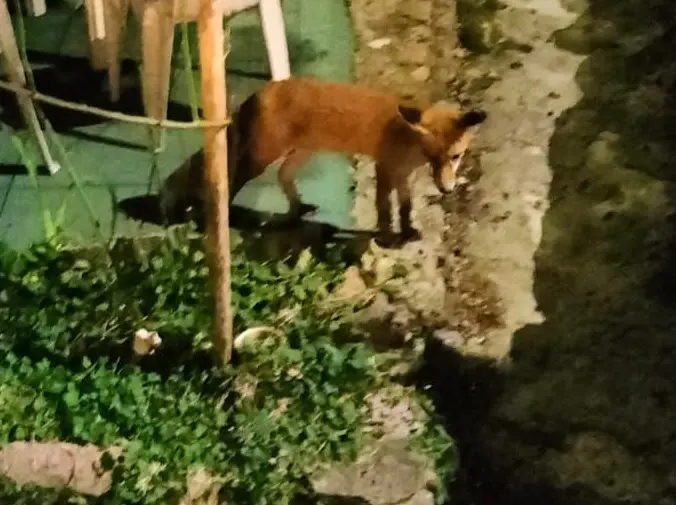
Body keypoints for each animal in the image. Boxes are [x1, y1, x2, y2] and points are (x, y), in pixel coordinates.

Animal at [158, 76, 486, 244]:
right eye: (434, 157)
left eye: (456, 156)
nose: (446, 189)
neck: (410, 145)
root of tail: (261, 91)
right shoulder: (384, 167)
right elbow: (383, 207)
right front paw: (386, 236)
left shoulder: (403, 174)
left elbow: (405, 207)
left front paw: (407, 231)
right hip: (260, 157)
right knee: (229, 179)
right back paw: (222, 218)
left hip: (301, 153)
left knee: (282, 177)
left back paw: (297, 211)